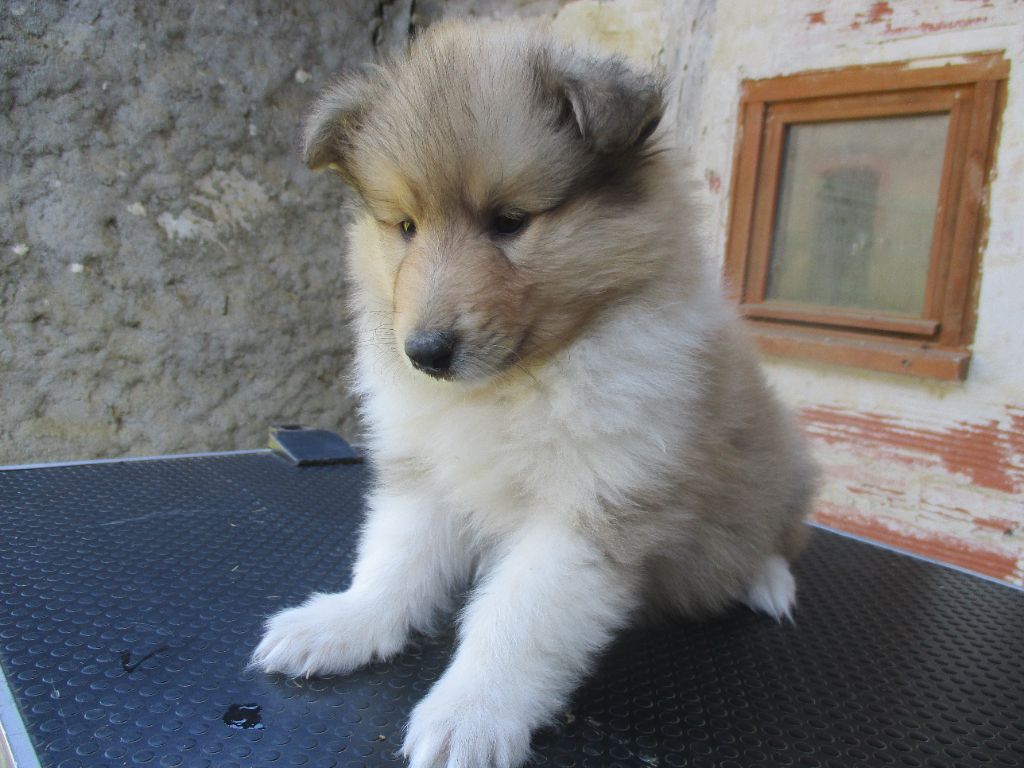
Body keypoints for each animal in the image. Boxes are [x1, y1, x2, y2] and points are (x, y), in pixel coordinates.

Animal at [252, 20, 817, 768]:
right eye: (405, 227)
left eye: (510, 220)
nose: (425, 353)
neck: (513, 383)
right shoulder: (426, 477)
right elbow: (394, 562)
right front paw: (345, 622)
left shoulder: (591, 510)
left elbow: (515, 620)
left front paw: (470, 714)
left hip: (787, 462)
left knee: (780, 535)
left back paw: (767, 581)